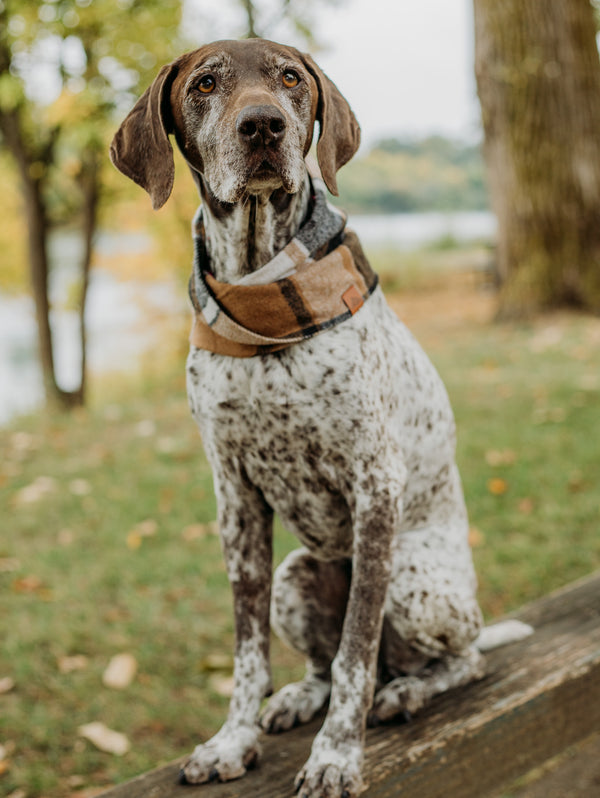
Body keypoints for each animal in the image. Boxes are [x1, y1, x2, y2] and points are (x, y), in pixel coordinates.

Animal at [110, 37, 532, 798]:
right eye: (207, 83)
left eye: (289, 79)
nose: (264, 127)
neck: (263, 295)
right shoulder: (236, 499)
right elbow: (248, 652)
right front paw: (233, 740)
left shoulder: (375, 487)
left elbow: (356, 653)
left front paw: (337, 755)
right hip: (297, 575)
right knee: (319, 659)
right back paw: (299, 697)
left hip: (419, 585)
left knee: (452, 661)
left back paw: (408, 690)